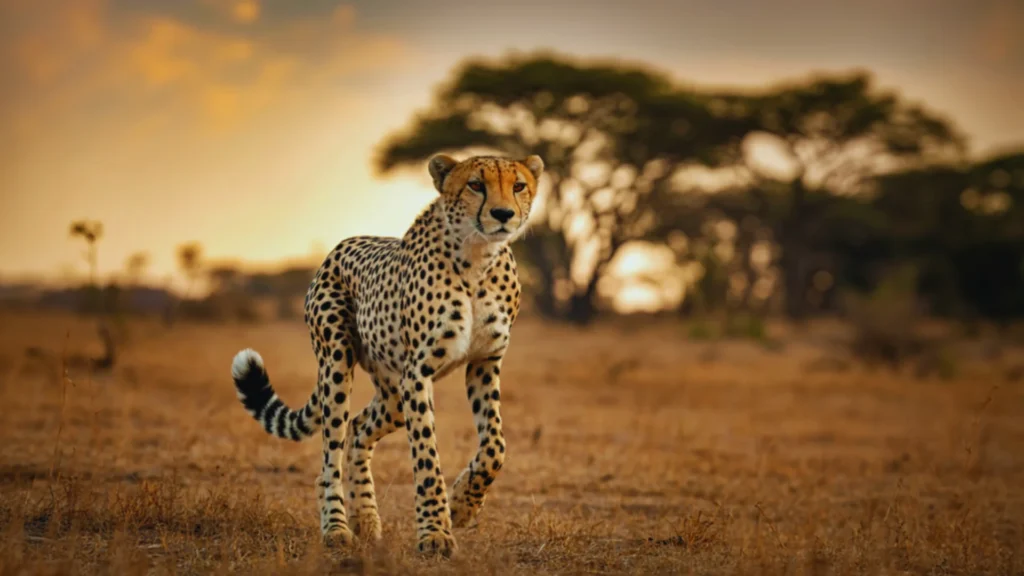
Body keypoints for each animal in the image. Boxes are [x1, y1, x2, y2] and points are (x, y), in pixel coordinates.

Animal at [230, 152, 544, 557]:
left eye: (518, 185)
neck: (477, 259)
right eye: (476, 184)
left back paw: (366, 519)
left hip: (393, 392)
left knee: (358, 428)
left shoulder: (484, 363)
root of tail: (340, 245)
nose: (503, 214)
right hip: (337, 364)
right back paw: (337, 527)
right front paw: (435, 532)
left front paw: (462, 505)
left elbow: (495, 446)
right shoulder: (420, 373)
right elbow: (427, 457)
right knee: (330, 455)